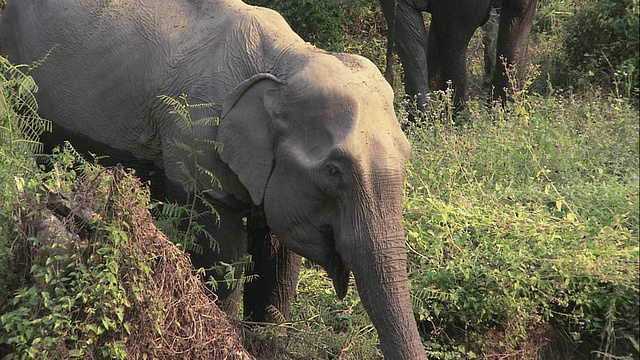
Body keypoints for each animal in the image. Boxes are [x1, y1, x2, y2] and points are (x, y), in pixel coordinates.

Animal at [1, 0, 430, 358]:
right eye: (334, 172)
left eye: (408, 156)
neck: (284, 60)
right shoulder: (197, 135)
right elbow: (224, 255)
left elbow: (277, 264)